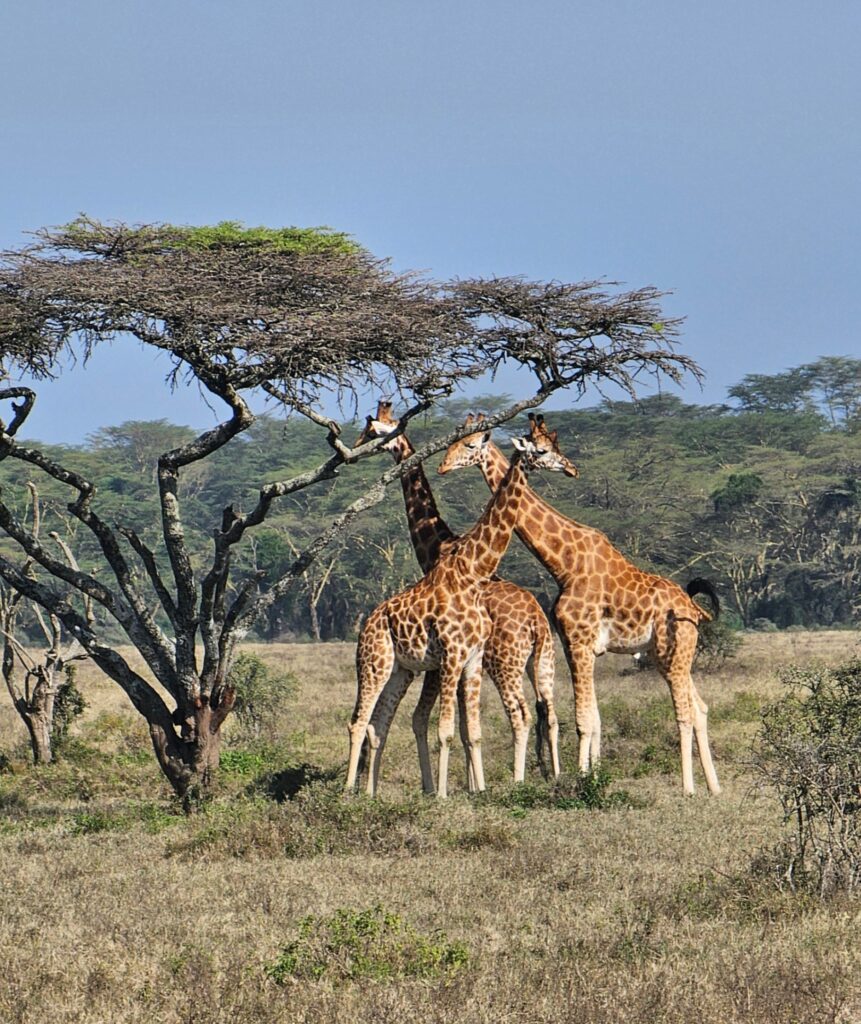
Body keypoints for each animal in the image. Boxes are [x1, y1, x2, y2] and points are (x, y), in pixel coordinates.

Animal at [343, 423, 577, 798]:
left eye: (551, 446)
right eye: (541, 449)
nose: (570, 468)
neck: (468, 567)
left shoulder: (467, 659)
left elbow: (465, 729)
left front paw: (468, 789)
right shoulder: (450, 658)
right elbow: (449, 728)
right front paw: (447, 792)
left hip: (417, 668)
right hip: (378, 663)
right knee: (360, 721)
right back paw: (352, 793)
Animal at [440, 411, 720, 794]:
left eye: (469, 445)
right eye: (455, 443)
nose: (571, 468)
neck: (564, 563)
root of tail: (693, 608)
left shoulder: (579, 642)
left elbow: (583, 719)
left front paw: (583, 781)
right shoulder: (575, 644)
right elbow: (595, 718)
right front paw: (594, 775)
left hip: (673, 652)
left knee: (685, 713)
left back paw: (688, 788)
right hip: (666, 654)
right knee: (702, 707)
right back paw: (714, 787)